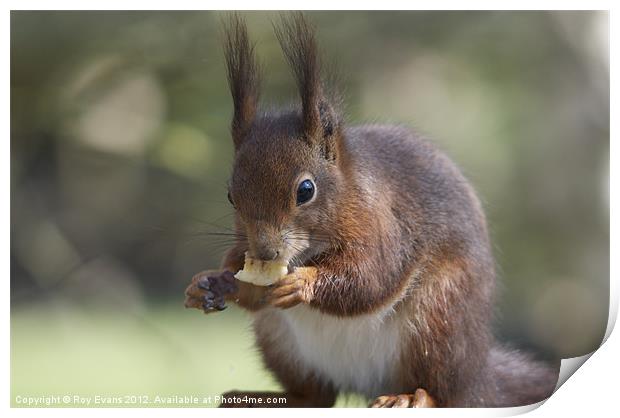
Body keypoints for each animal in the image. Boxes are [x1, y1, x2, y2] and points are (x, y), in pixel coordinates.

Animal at [184, 13, 560, 408]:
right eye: (230, 196)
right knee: (317, 396)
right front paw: (212, 282)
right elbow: (251, 291)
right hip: (280, 341)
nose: (265, 252)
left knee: (442, 390)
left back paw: (411, 396)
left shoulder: (386, 224)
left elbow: (371, 277)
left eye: (306, 190)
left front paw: (303, 282)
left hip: (438, 320)